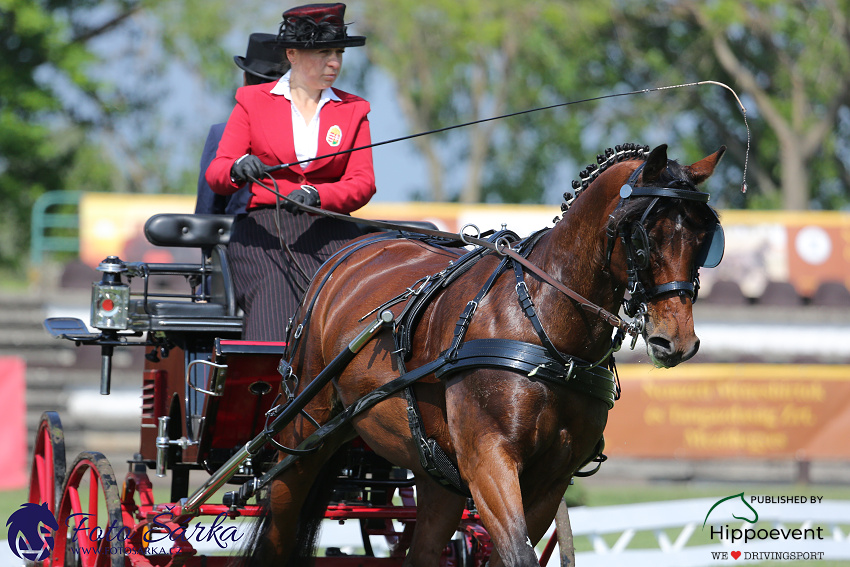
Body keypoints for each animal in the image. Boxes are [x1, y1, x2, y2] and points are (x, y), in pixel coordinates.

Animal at [243, 141, 724, 564]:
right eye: (644, 235)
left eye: (705, 240)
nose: (676, 341)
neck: (545, 329)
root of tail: (346, 256)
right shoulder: (488, 461)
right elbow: (518, 554)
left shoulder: (550, 479)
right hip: (302, 435)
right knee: (277, 530)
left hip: (434, 470)